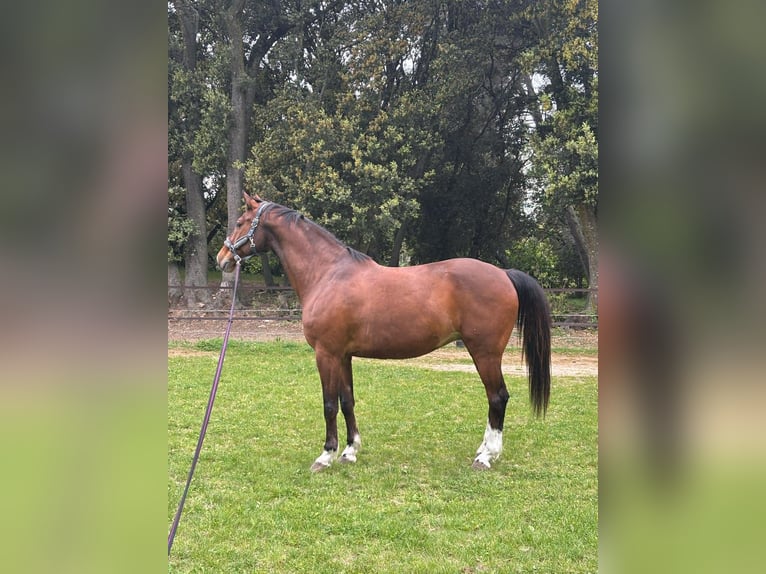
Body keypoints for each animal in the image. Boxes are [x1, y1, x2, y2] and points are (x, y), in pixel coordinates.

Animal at [216, 193, 551, 472]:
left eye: (240, 222)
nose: (222, 259)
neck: (328, 274)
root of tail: (504, 274)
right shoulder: (343, 355)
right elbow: (347, 401)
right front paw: (350, 451)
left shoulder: (326, 354)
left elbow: (328, 404)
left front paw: (325, 456)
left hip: (484, 353)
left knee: (498, 397)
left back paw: (485, 456)